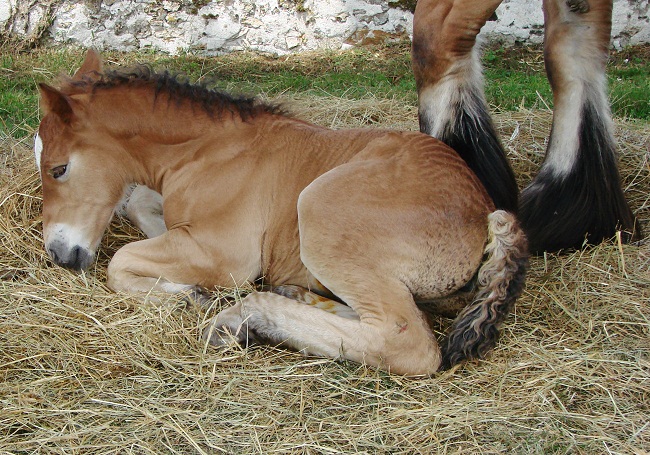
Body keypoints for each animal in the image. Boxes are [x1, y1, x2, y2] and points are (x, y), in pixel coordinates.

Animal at [35, 51, 528, 376]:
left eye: (59, 168)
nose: (59, 254)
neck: (207, 150)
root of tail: (485, 213)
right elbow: (141, 207)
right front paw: (187, 285)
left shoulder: (225, 254)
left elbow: (120, 263)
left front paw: (190, 295)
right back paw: (294, 296)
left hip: (321, 210)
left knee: (406, 340)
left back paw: (247, 318)